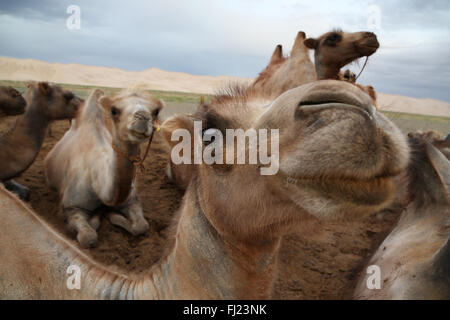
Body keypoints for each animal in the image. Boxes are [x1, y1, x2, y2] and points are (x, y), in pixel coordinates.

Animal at [44, 89, 163, 249]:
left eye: (156, 111)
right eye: (114, 110)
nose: (143, 118)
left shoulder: (132, 200)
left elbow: (141, 226)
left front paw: (112, 215)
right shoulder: (71, 207)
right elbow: (88, 237)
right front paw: (99, 217)